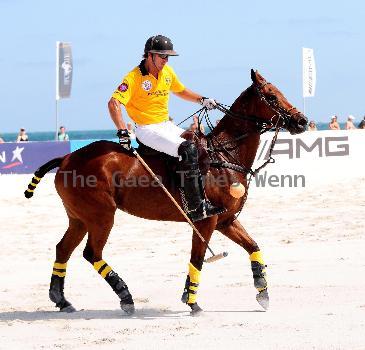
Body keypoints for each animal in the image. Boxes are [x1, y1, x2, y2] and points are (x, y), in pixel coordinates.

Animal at [24, 69, 306, 316]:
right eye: (271, 96)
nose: (302, 121)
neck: (225, 154)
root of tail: (66, 157)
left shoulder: (226, 220)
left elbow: (253, 246)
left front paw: (262, 292)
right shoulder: (205, 221)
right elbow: (198, 258)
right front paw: (191, 301)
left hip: (79, 217)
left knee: (63, 249)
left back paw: (61, 300)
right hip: (101, 214)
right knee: (91, 253)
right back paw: (126, 297)